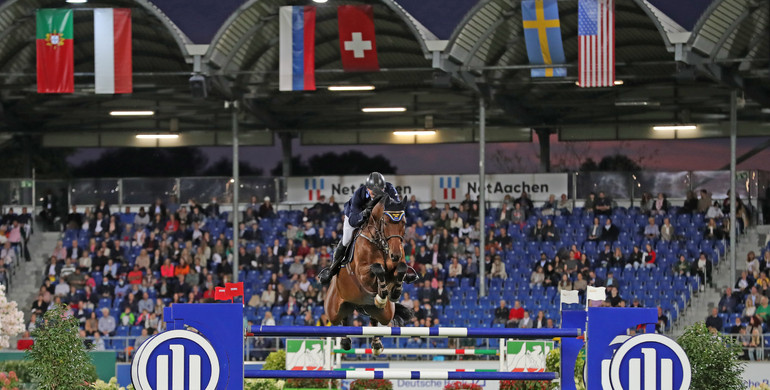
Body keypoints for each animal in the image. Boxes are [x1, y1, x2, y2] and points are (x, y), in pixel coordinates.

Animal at [324, 193, 414, 354]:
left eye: (403, 222)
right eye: (386, 223)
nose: (395, 254)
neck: (380, 242)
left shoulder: (397, 266)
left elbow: (401, 268)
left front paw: (394, 292)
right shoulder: (362, 273)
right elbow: (378, 268)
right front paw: (382, 293)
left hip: (385, 313)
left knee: (375, 320)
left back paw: (376, 342)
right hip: (333, 310)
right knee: (340, 318)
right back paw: (345, 341)